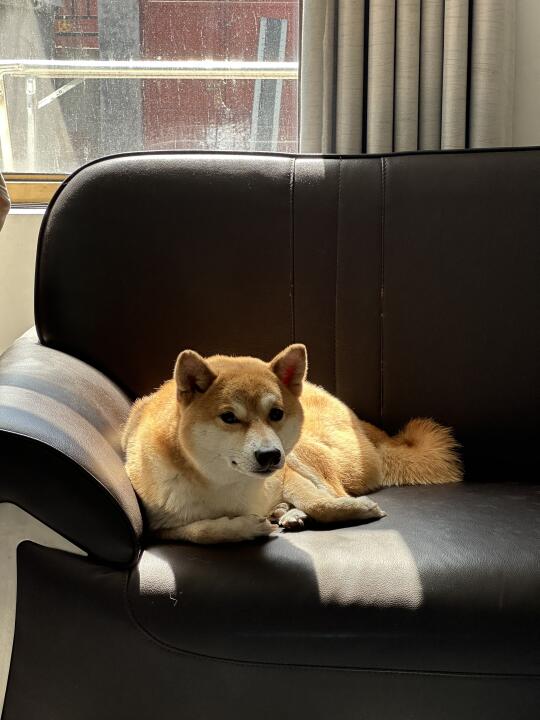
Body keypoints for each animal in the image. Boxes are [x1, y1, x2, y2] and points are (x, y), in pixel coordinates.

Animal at [122, 344, 462, 543]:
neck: (229, 484)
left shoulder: (287, 474)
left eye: (276, 413)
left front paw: (353, 509)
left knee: (333, 490)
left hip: (303, 453)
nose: (270, 455)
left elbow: (317, 502)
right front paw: (246, 527)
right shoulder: (161, 527)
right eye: (229, 418)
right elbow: (201, 531)